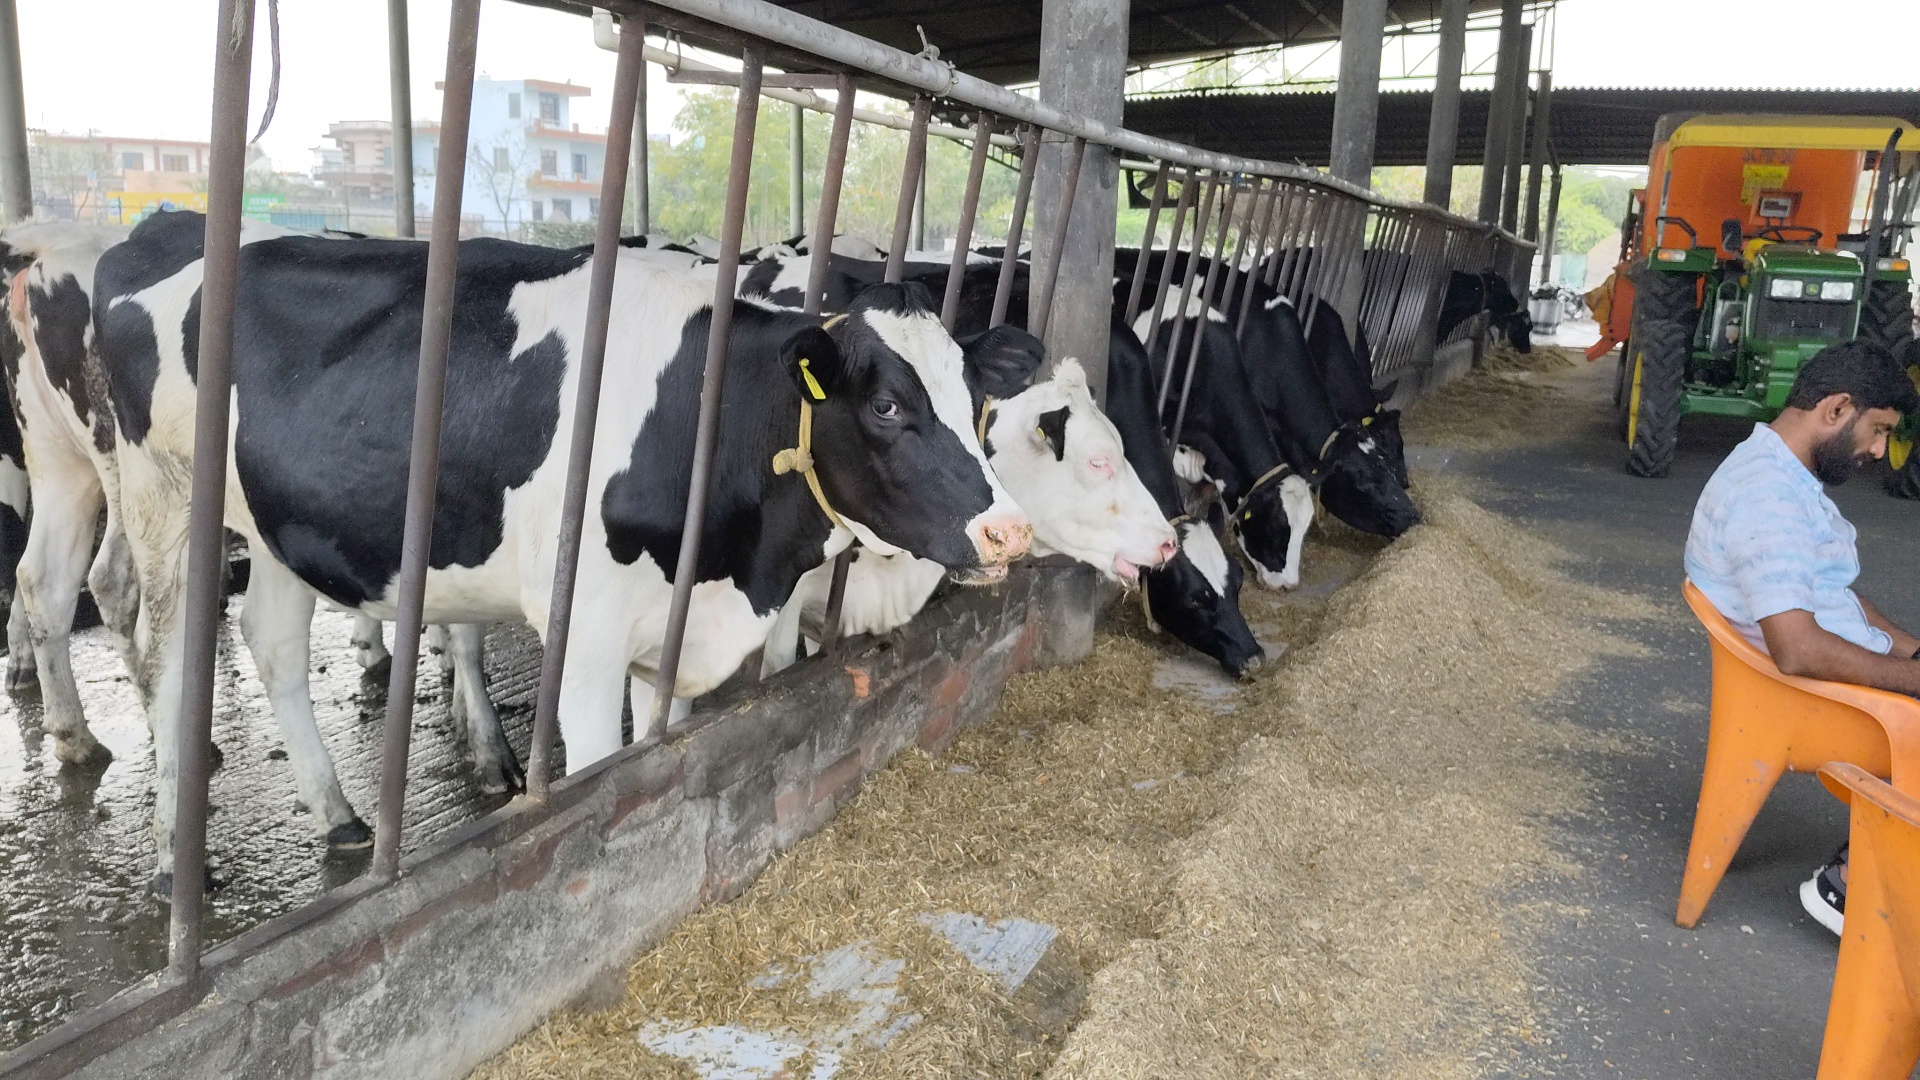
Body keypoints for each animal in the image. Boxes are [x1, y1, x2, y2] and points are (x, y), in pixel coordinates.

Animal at [95, 211, 1030, 891]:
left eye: (975, 397)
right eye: (886, 406)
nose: (1010, 530)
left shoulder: (672, 630)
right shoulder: (586, 640)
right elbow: (601, 770)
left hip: (280, 524)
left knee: (274, 645)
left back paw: (341, 815)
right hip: (161, 498)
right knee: (168, 659)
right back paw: (176, 861)